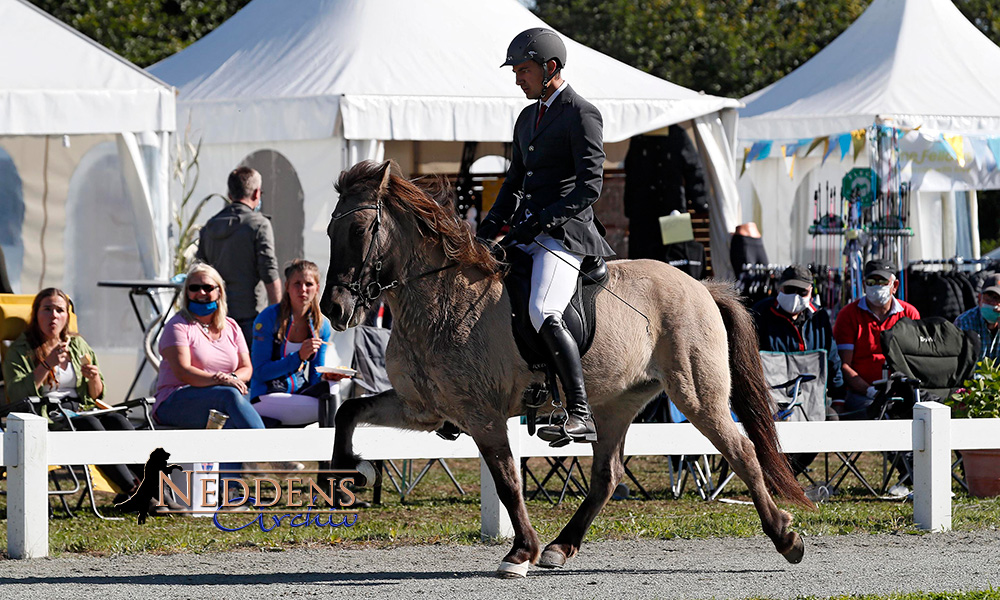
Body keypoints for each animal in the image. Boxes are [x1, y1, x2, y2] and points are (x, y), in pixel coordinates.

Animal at [320, 158, 812, 576]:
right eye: (329, 231)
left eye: (360, 229)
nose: (333, 309)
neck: (439, 298)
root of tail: (701, 285)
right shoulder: (421, 408)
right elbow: (348, 413)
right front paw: (352, 473)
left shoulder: (482, 415)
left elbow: (507, 481)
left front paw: (520, 552)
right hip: (617, 404)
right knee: (607, 476)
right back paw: (561, 546)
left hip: (696, 394)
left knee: (742, 451)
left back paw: (785, 537)